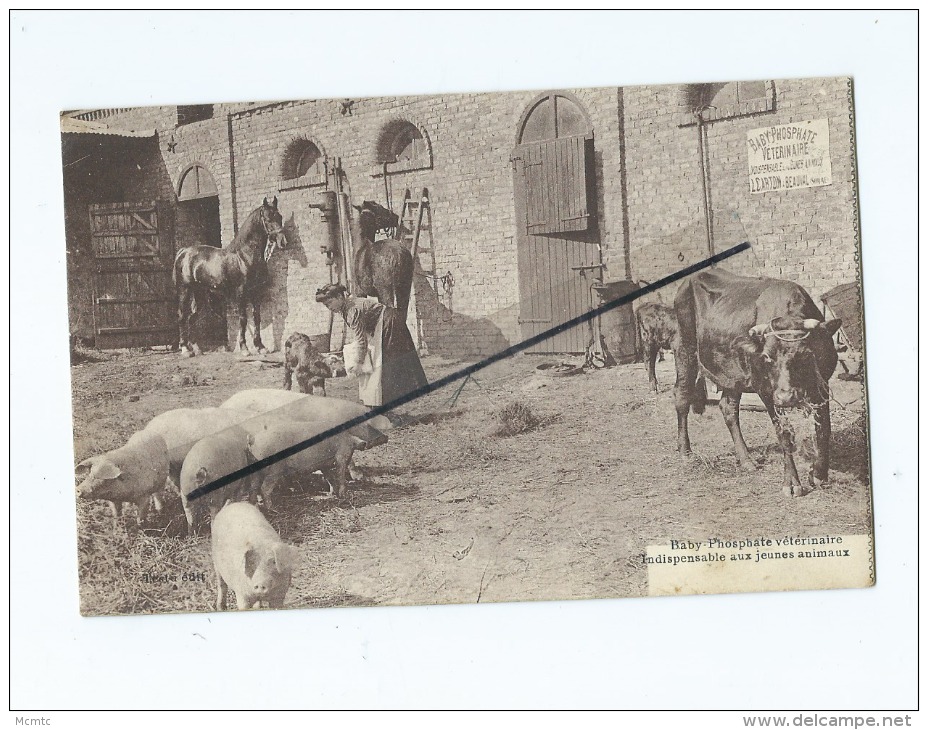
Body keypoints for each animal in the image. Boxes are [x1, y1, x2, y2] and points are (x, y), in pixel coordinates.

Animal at [174, 196, 286, 356]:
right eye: (268, 218)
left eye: (280, 216)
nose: (283, 241)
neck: (245, 255)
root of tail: (183, 252)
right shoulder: (241, 292)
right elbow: (243, 319)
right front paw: (244, 348)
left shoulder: (256, 292)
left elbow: (257, 317)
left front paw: (260, 346)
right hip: (185, 290)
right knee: (182, 316)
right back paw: (185, 349)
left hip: (199, 293)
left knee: (192, 317)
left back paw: (196, 348)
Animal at [676, 268, 840, 494]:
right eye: (767, 357)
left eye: (805, 354)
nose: (786, 397)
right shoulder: (765, 390)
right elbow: (784, 433)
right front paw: (792, 483)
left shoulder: (822, 384)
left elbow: (824, 428)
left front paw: (819, 474)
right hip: (686, 350)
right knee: (682, 399)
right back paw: (685, 452)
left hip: (731, 373)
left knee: (728, 408)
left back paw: (746, 460)